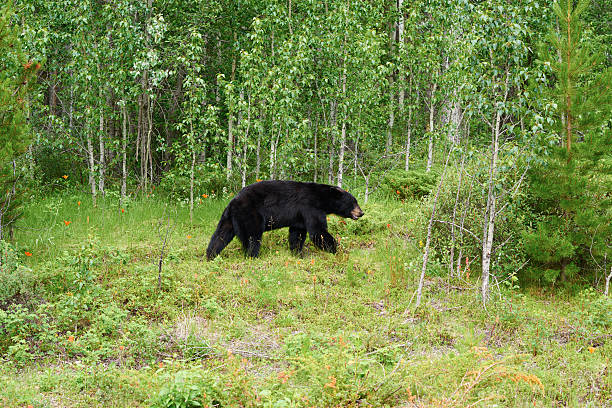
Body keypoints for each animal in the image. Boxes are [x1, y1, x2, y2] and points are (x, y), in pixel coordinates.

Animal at [208, 181, 364, 258]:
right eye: (354, 202)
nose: (361, 212)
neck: (322, 198)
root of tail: (233, 201)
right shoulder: (310, 207)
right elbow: (317, 231)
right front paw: (337, 249)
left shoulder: (299, 216)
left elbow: (297, 233)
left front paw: (297, 253)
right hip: (250, 214)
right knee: (253, 237)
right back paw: (253, 255)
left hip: (229, 218)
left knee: (220, 236)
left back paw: (210, 255)